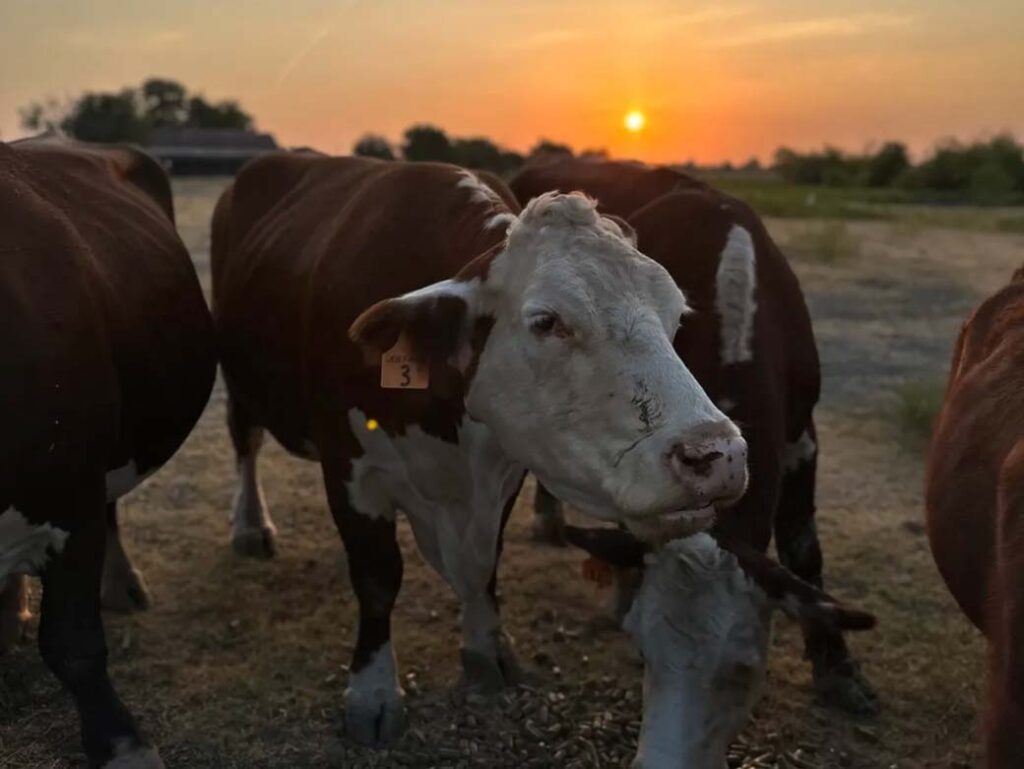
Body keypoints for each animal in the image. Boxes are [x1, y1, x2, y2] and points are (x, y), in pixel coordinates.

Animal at [209, 153, 753, 749]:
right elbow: (377, 578)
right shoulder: (351, 466)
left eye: (675, 316)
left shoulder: (502, 469)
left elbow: (481, 566)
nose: (716, 454)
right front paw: (373, 692)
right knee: (245, 443)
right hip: (239, 382)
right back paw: (250, 526)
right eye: (546, 322)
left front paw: (486, 650)